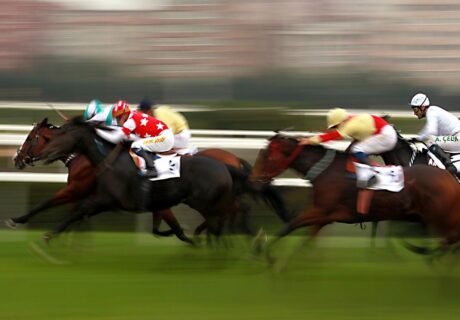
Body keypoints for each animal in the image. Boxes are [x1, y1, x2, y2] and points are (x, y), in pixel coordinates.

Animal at [250, 134, 460, 256]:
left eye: (267, 156)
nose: (252, 181)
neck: (326, 170)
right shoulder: (324, 216)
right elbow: (306, 237)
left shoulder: (321, 211)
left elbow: (291, 225)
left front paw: (262, 249)